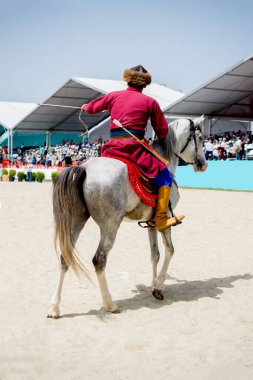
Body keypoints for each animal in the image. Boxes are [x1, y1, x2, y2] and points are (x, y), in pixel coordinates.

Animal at [47, 116, 208, 318]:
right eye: (200, 138)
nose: (203, 163)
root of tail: (84, 168)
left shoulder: (152, 223)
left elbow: (154, 254)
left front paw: (153, 286)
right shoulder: (165, 221)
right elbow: (170, 250)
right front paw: (159, 285)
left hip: (76, 222)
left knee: (65, 258)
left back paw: (55, 307)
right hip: (110, 226)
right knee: (99, 260)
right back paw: (110, 304)